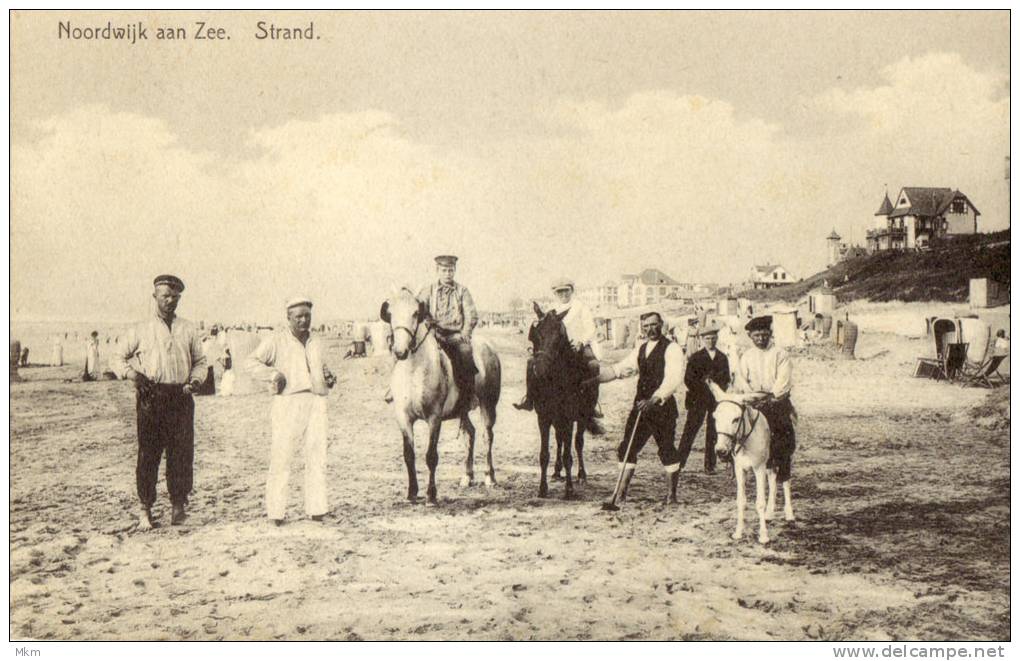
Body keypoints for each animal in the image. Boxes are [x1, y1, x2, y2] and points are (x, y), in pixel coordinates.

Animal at [379, 285, 501, 503]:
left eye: (415, 313)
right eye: (391, 314)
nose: (400, 351)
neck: (414, 371)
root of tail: (489, 348)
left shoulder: (434, 418)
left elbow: (431, 456)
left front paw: (431, 495)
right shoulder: (404, 418)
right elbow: (408, 455)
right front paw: (412, 493)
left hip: (488, 405)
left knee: (487, 436)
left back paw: (489, 477)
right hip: (463, 410)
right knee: (470, 434)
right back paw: (467, 476)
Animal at [526, 301, 595, 497]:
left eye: (559, 337)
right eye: (535, 335)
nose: (540, 369)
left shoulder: (569, 417)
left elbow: (568, 454)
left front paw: (569, 490)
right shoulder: (543, 417)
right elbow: (544, 454)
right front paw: (542, 488)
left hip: (582, 417)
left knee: (578, 443)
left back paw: (581, 475)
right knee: (559, 440)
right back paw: (557, 472)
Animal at [709, 379, 795, 546]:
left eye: (736, 419)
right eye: (715, 417)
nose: (721, 451)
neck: (746, 438)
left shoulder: (758, 468)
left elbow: (759, 502)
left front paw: (763, 536)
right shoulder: (740, 469)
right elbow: (741, 501)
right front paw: (738, 532)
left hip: (784, 457)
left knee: (785, 481)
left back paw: (789, 513)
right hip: (770, 463)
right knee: (773, 480)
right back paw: (770, 513)